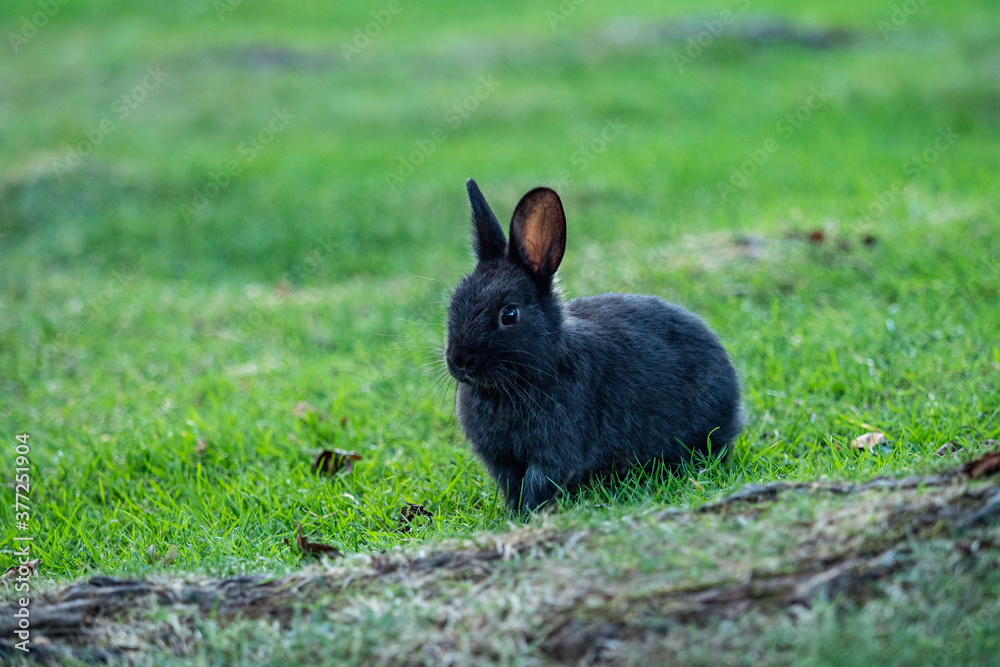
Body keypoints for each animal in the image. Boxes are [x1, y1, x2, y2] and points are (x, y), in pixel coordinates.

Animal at [445, 179, 742, 514]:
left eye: (509, 314)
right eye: (454, 303)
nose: (459, 361)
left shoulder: (554, 455)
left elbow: (538, 484)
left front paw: (529, 515)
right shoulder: (503, 462)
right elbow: (513, 486)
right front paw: (514, 515)